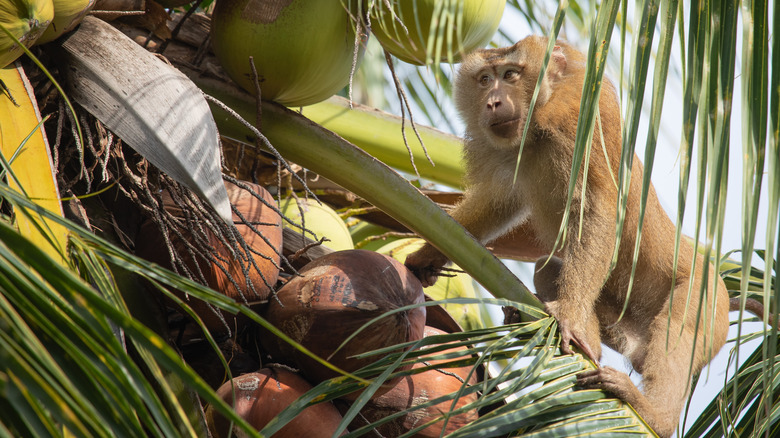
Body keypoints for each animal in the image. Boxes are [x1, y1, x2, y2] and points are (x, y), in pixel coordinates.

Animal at [408, 36, 768, 436]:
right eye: (485, 79)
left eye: (511, 74)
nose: (492, 101)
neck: (537, 129)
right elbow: (499, 203)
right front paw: (427, 255)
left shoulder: (579, 120)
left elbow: (598, 212)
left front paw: (569, 315)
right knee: (548, 270)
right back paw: (590, 348)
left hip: (705, 297)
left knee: (677, 329)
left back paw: (654, 415)